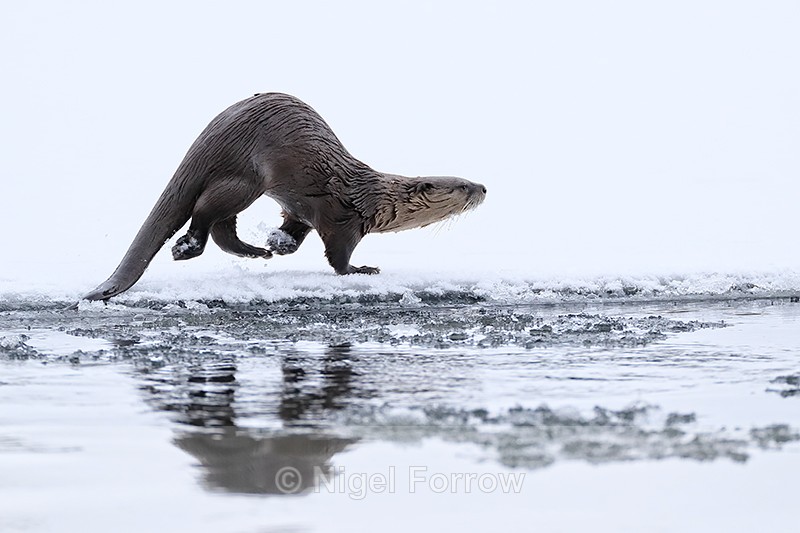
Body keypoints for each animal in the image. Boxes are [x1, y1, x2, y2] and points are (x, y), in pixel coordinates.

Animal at [83, 93, 486, 301]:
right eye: (463, 186)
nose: (484, 188)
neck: (374, 199)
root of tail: (210, 138)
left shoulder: (303, 209)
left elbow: (295, 228)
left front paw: (278, 243)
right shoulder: (344, 219)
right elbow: (338, 258)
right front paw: (362, 270)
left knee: (222, 227)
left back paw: (255, 252)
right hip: (245, 178)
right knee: (205, 213)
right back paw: (186, 248)